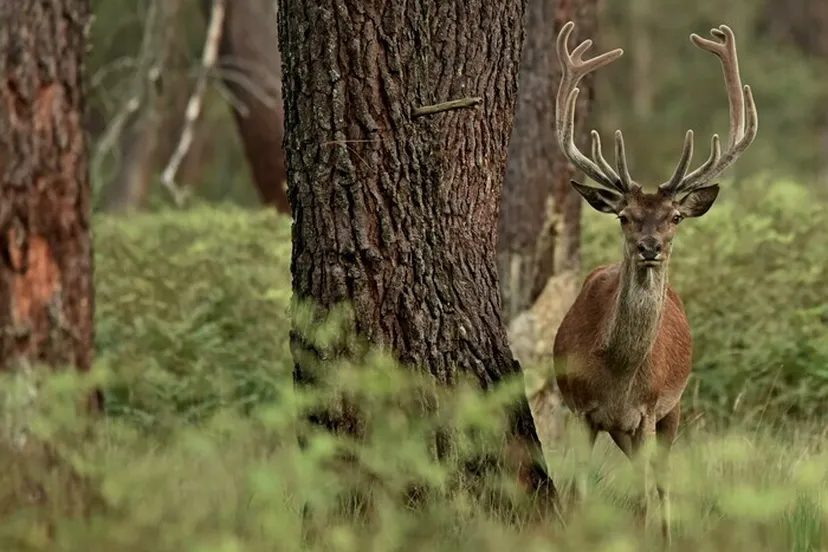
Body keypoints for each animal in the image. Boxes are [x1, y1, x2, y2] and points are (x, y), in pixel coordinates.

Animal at [550, 22, 757, 543]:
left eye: (676, 217)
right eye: (624, 216)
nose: (650, 247)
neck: (620, 376)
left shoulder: (647, 410)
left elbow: (646, 499)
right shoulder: (580, 410)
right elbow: (579, 494)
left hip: (673, 409)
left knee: (662, 489)